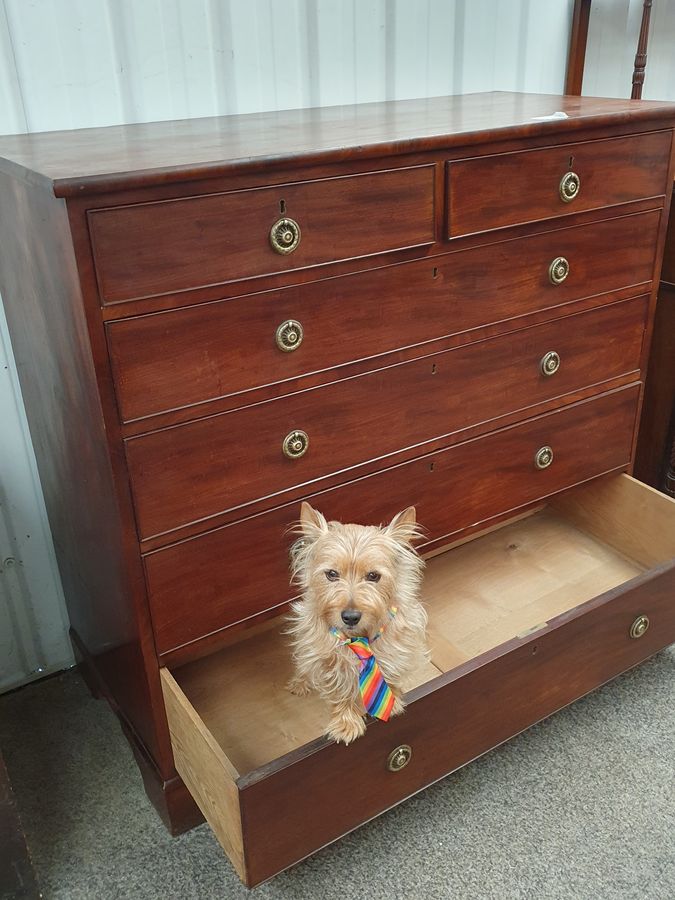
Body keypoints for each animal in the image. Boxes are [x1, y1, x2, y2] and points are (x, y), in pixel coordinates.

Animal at [286, 500, 428, 744]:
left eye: (373, 576)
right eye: (332, 574)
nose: (350, 616)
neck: (358, 637)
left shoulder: (396, 649)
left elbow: (391, 673)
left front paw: (393, 702)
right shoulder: (327, 660)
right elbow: (339, 690)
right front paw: (346, 722)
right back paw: (299, 683)